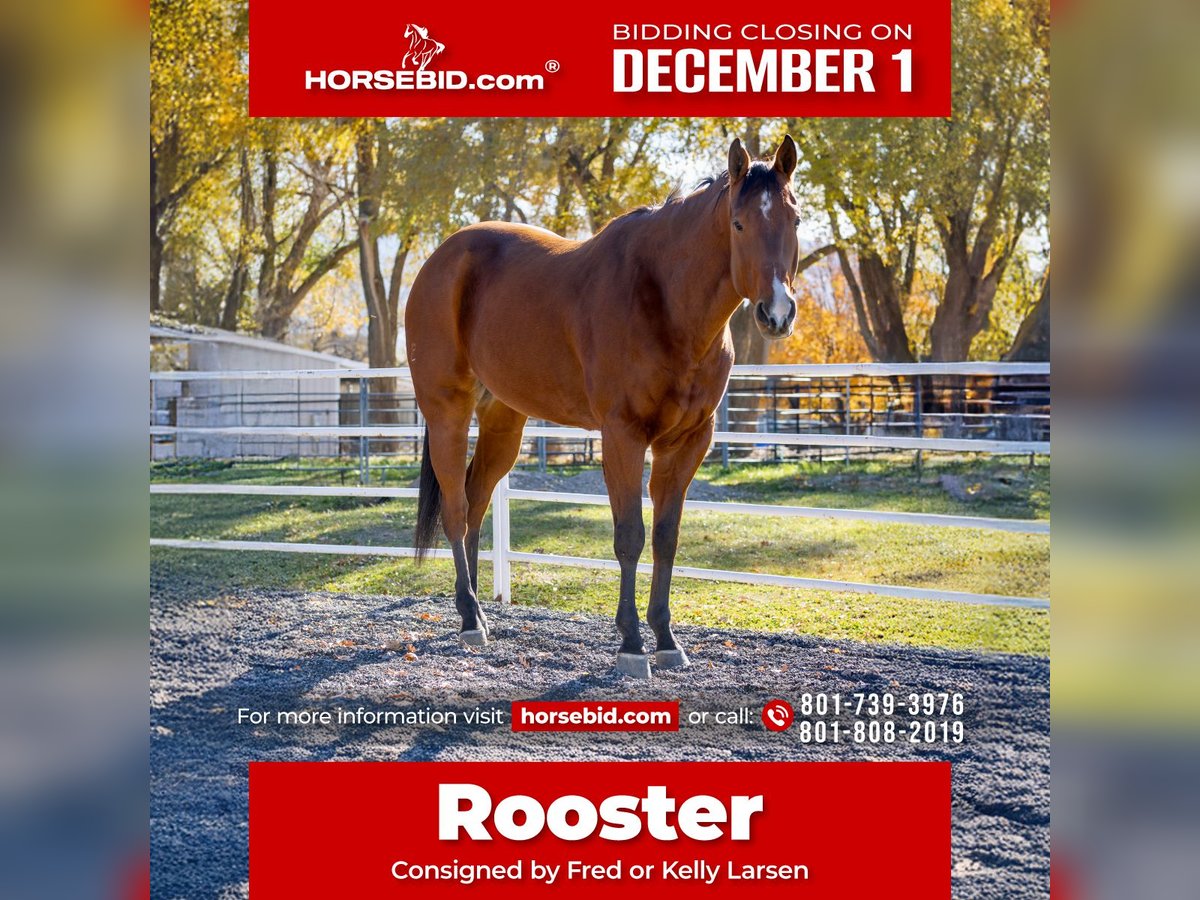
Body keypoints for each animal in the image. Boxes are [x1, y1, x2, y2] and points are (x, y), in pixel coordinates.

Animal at [405, 137, 802, 678]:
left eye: (795, 220)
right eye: (739, 224)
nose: (776, 314)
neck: (665, 301)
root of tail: (440, 260)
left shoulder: (688, 442)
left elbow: (666, 538)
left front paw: (666, 639)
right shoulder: (624, 437)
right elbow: (630, 536)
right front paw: (632, 644)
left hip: (503, 421)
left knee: (475, 502)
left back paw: (480, 613)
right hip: (448, 411)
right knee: (455, 507)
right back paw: (468, 620)